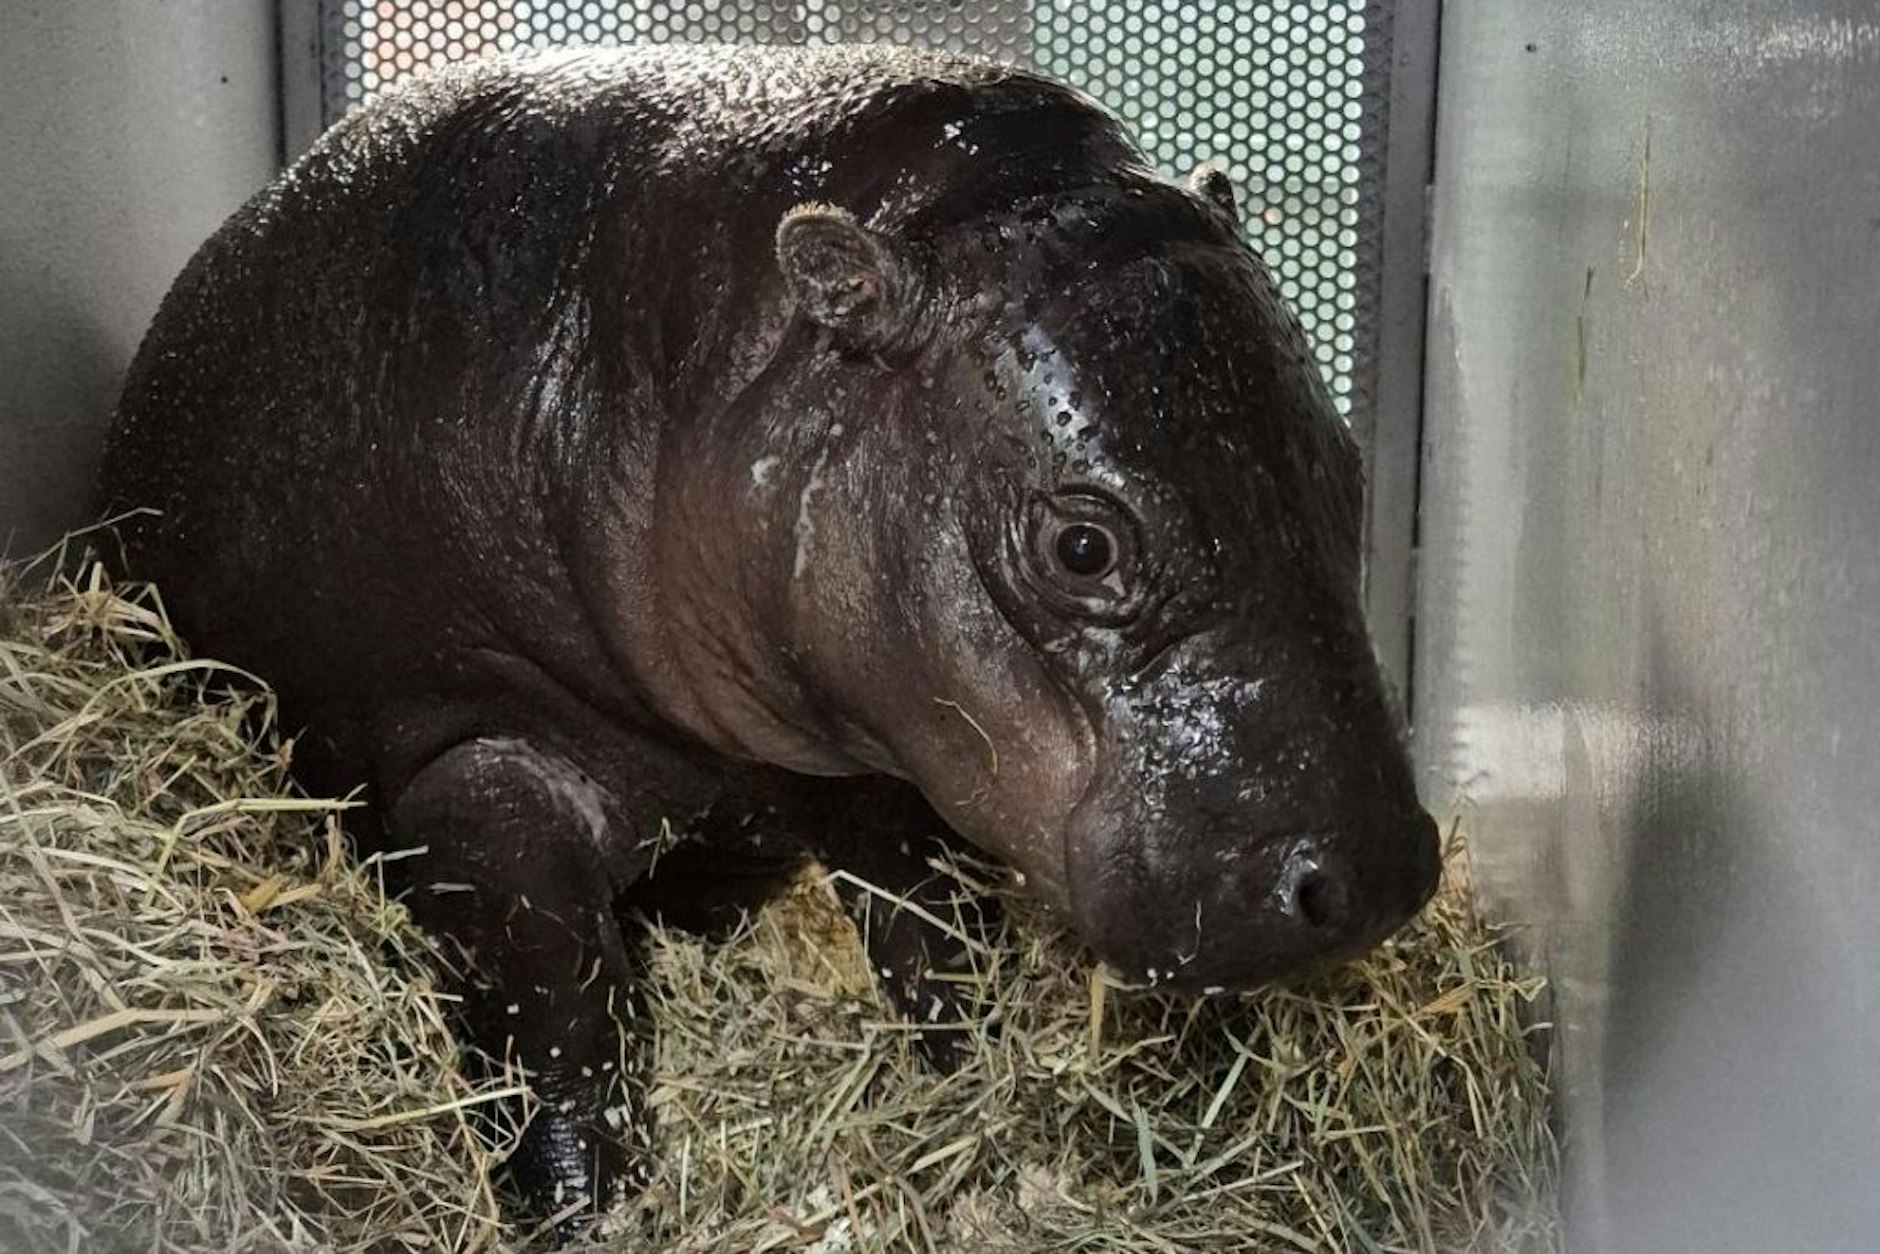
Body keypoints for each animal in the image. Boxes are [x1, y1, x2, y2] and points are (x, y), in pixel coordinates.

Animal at [97, 44, 1440, 1222]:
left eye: (1347, 462)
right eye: (1082, 547)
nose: (1377, 874)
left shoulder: (873, 747)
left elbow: (934, 935)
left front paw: (975, 1090)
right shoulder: (472, 758)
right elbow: (556, 1008)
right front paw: (576, 1206)